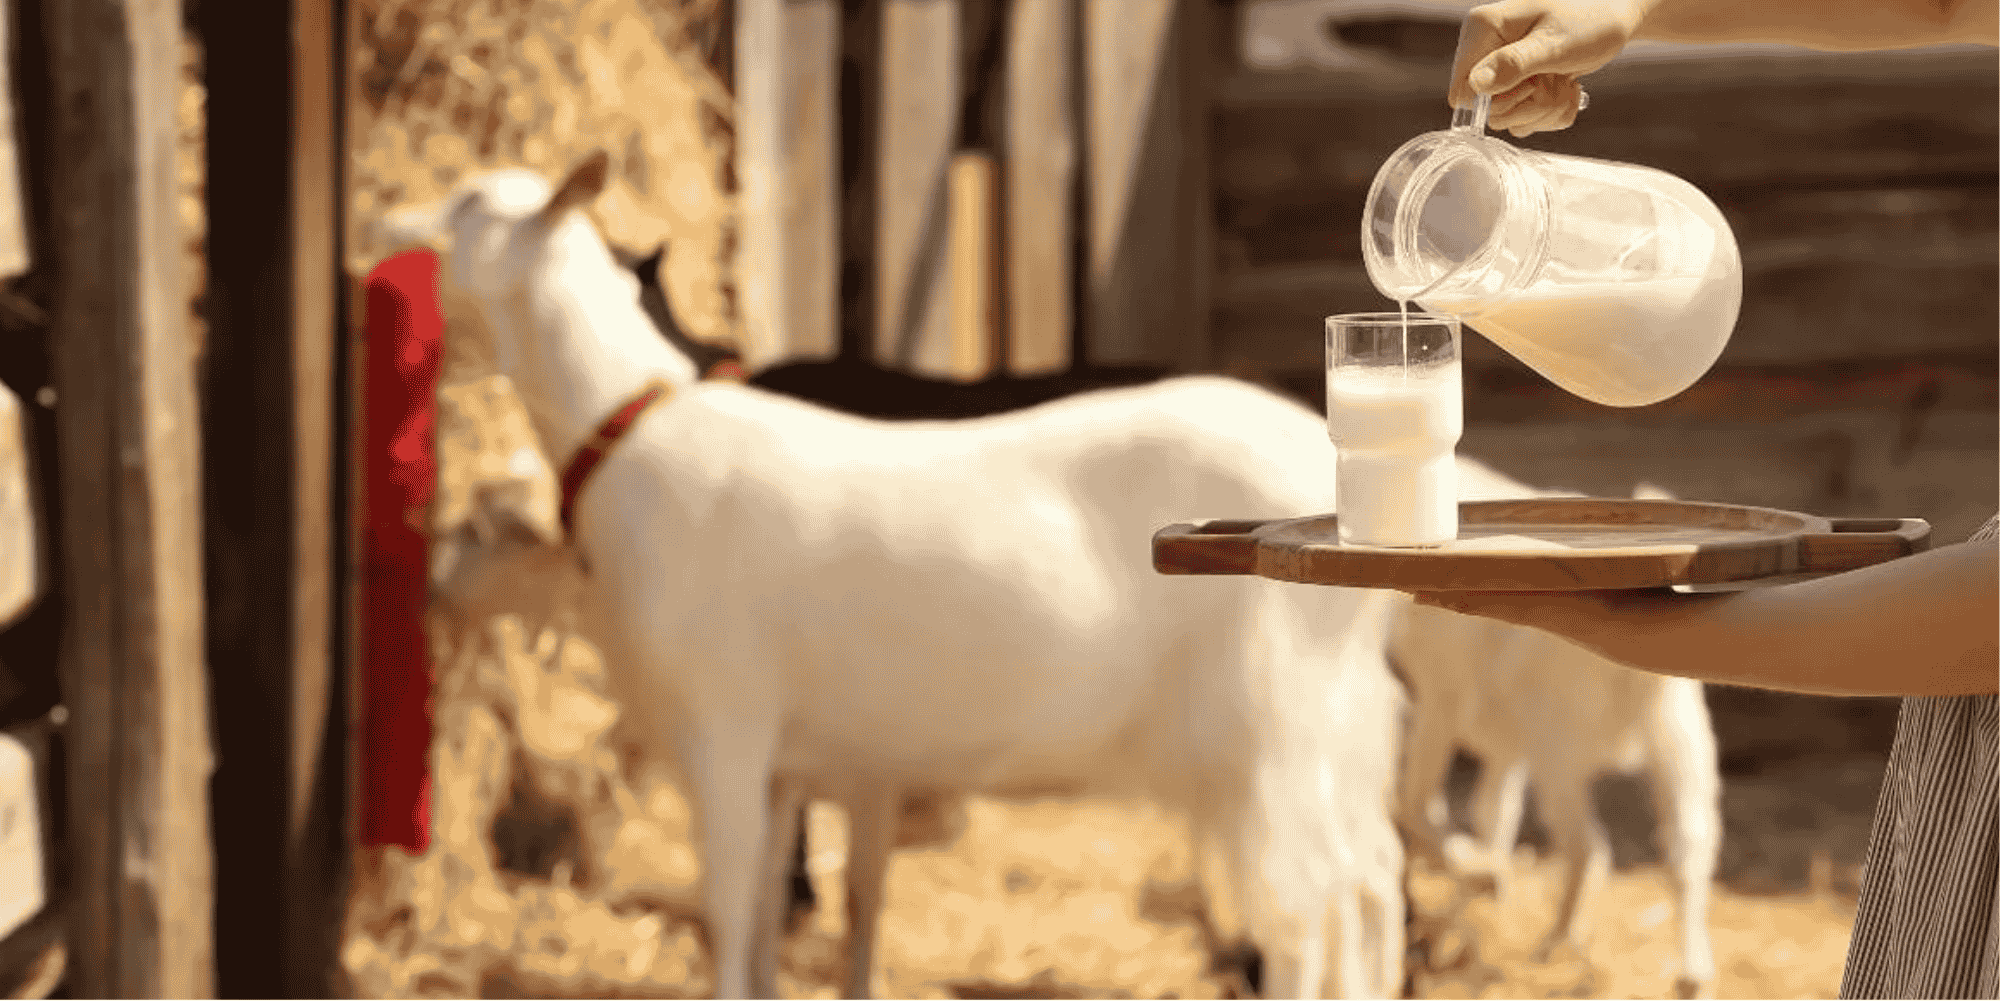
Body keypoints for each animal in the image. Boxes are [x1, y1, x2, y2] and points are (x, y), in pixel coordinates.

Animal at [385, 150, 1409, 999]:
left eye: (471, 203)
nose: (388, 223)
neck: (628, 433)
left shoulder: (725, 728)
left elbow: (727, 906)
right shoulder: (787, 764)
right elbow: (767, 915)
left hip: (1267, 732)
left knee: (1307, 908)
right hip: (1335, 729)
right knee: (1369, 883)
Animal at [1389, 469, 1722, 999]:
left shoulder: (1440, 704)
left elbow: (1422, 805)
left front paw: (1470, 887)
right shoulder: (1505, 744)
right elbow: (1493, 816)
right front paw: (1480, 894)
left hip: (1560, 751)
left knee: (1589, 846)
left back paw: (1555, 941)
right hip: (1680, 742)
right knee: (1687, 848)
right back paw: (1691, 973)